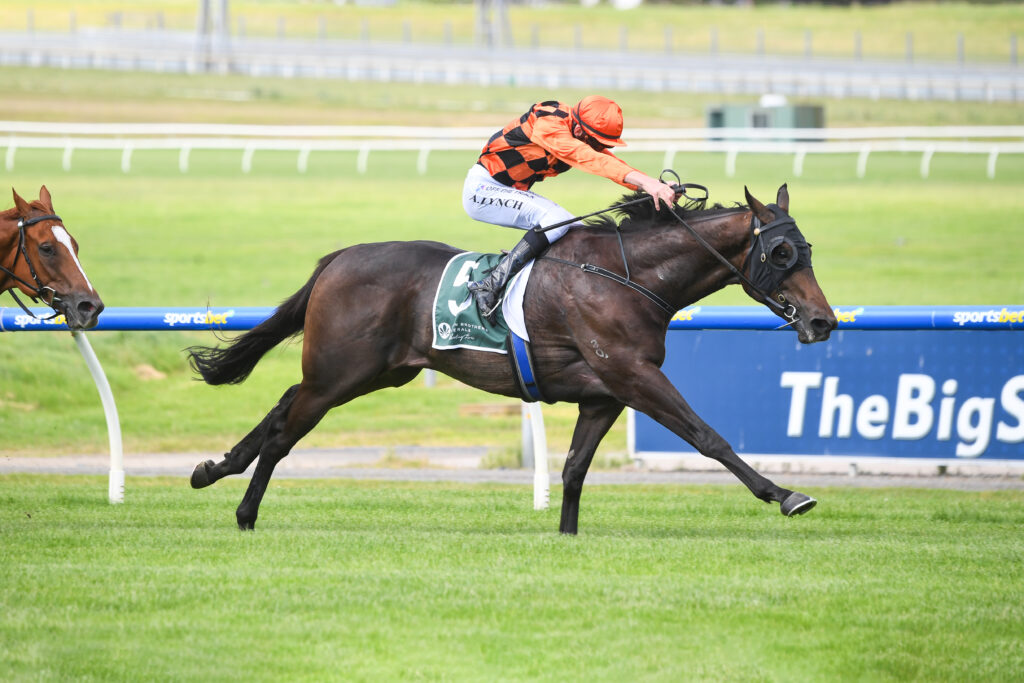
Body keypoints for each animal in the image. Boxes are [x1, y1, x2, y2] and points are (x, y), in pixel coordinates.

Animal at [192, 185, 839, 532]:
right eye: (780, 253)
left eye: (807, 249)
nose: (823, 321)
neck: (628, 276)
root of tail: (338, 258)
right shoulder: (634, 376)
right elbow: (708, 437)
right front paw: (785, 494)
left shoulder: (603, 394)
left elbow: (575, 469)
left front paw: (567, 535)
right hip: (339, 373)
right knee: (285, 432)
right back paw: (245, 511)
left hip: (373, 372)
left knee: (281, 406)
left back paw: (212, 468)